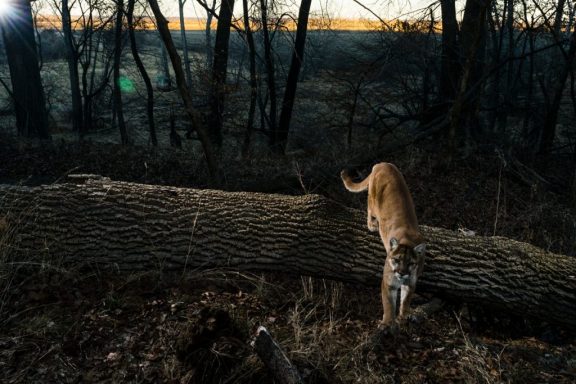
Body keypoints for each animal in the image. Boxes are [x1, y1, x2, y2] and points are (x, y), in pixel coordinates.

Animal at [340, 164, 426, 328]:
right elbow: (388, 304)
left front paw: (403, 316)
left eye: (411, 263)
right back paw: (372, 225)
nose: (402, 273)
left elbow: (406, 300)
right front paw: (387, 322)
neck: (408, 241)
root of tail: (382, 164)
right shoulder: (388, 282)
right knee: (369, 208)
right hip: (373, 201)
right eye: (397, 260)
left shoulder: (411, 282)